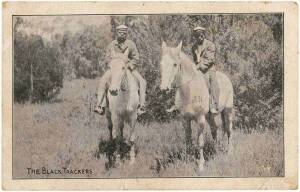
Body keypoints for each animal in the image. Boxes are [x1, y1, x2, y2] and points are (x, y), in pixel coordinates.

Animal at [159, 41, 234, 171]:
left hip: (227, 111)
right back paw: (216, 150)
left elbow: (200, 142)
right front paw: (187, 160)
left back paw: (229, 152)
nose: (164, 89)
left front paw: (201, 165)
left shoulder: (200, 119)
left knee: (228, 130)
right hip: (210, 117)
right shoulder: (185, 120)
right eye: (161, 64)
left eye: (175, 64)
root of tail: (226, 79)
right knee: (215, 131)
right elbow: (188, 141)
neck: (190, 90)